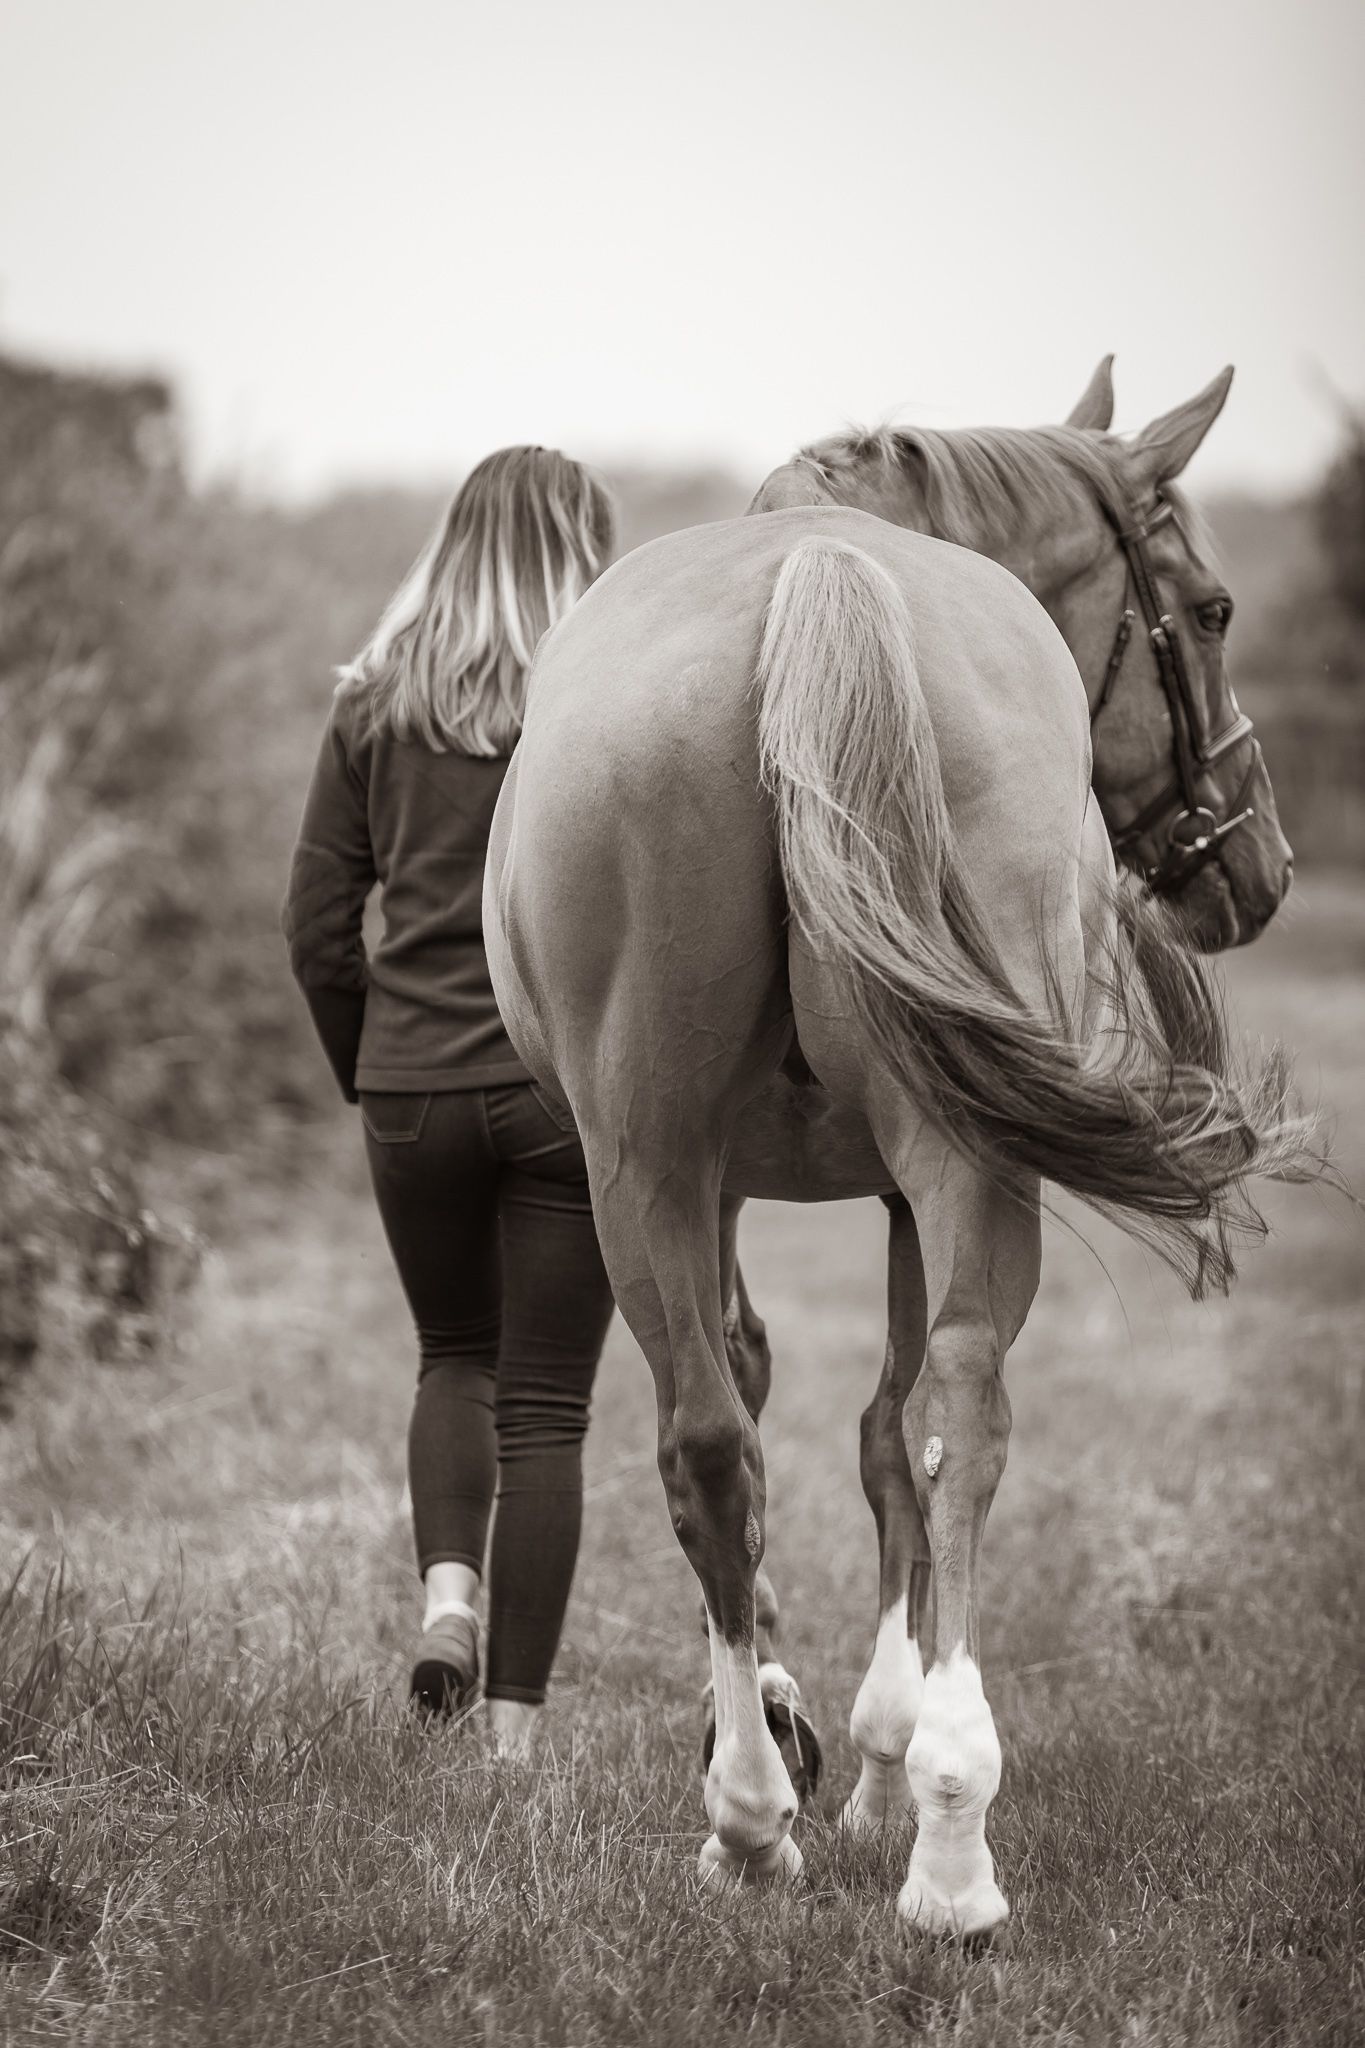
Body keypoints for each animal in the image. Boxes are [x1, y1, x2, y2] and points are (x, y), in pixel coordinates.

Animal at [483, 364, 1320, 1939]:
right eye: (1213, 607)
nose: (1261, 867)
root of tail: (822, 575)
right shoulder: (891, 1183)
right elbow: (884, 1436)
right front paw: (868, 1750)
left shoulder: (762, 1180)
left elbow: (810, 1409)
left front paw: (793, 1722)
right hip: (929, 1161)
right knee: (949, 1418)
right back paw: (928, 1836)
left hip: (651, 1165)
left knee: (723, 1440)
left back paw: (774, 1820)